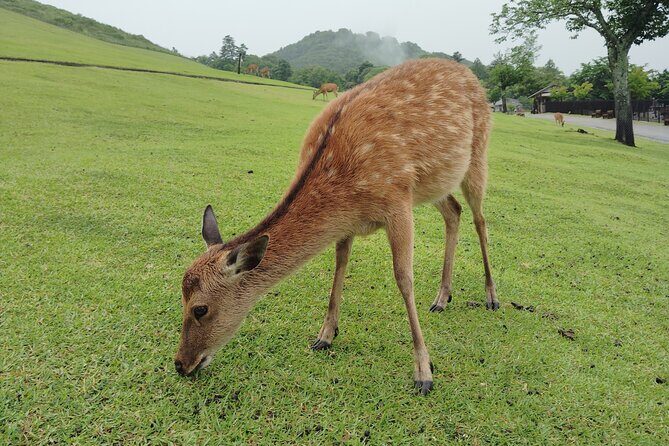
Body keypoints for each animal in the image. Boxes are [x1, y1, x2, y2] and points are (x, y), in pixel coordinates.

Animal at [174, 58, 498, 396]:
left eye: (200, 309)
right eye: (179, 298)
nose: (181, 364)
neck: (345, 193)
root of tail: (470, 76)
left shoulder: (397, 200)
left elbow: (403, 278)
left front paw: (424, 372)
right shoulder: (350, 223)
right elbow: (340, 265)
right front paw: (325, 335)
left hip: (478, 155)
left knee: (480, 219)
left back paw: (491, 296)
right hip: (434, 185)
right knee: (454, 211)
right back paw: (441, 298)